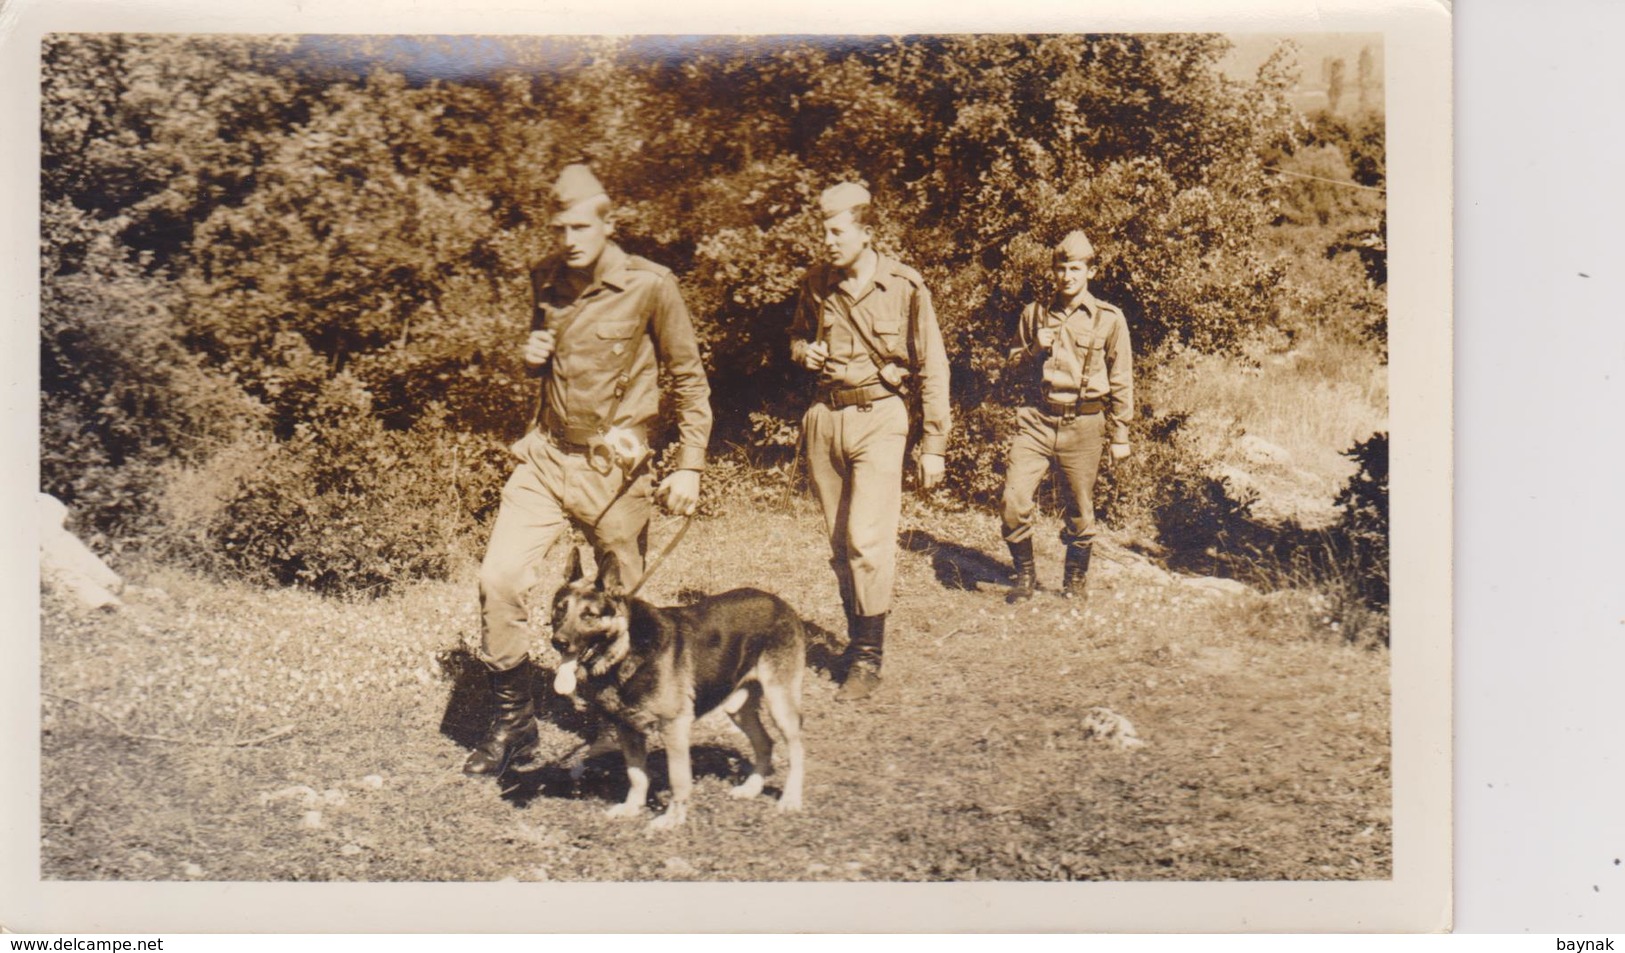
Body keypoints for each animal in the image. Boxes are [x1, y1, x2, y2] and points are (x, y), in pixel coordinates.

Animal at [546, 546, 806, 826]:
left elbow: (678, 779)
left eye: (589, 615)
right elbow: (637, 776)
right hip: (738, 708)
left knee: (797, 750)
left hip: (780, 704)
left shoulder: (674, 728)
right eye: (560, 610)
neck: (627, 648)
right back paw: (751, 788)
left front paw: (672, 819)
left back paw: (791, 799)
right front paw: (632, 808)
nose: (558, 642)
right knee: (765, 743)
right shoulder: (628, 730)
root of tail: (779, 602)